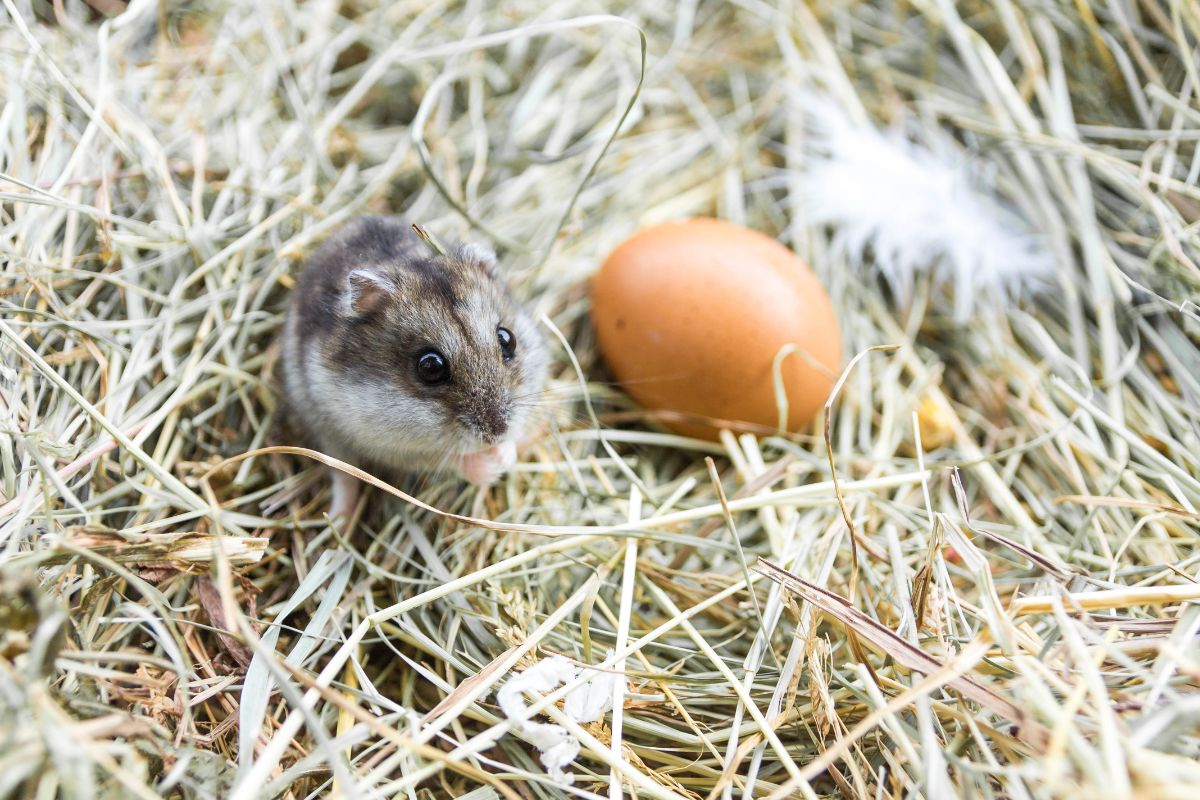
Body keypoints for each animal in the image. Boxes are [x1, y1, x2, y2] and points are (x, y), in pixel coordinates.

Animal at [276, 217, 549, 520]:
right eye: (430, 366)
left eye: (507, 339)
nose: (497, 434)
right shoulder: (389, 445)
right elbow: (449, 459)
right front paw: (490, 470)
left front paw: (505, 455)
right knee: (344, 474)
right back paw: (338, 520)